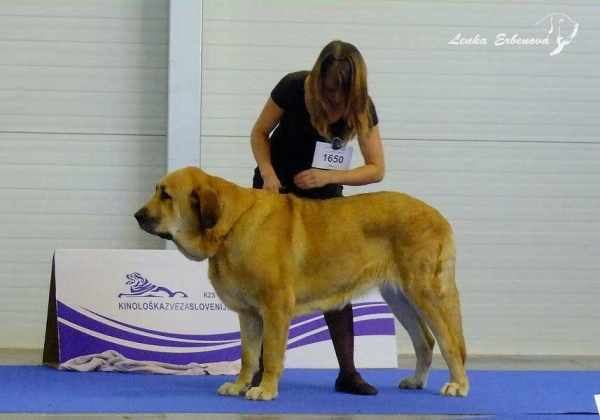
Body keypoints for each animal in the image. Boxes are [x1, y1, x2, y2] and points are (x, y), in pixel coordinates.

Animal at [136, 167, 468, 400]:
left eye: (166, 195)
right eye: (157, 191)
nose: (137, 215)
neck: (231, 225)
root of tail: (439, 216)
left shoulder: (274, 309)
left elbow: (270, 354)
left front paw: (265, 390)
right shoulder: (249, 314)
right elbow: (247, 356)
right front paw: (240, 385)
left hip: (425, 292)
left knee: (449, 341)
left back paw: (457, 385)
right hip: (398, 297)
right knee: (425, 341)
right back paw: (417, 381)